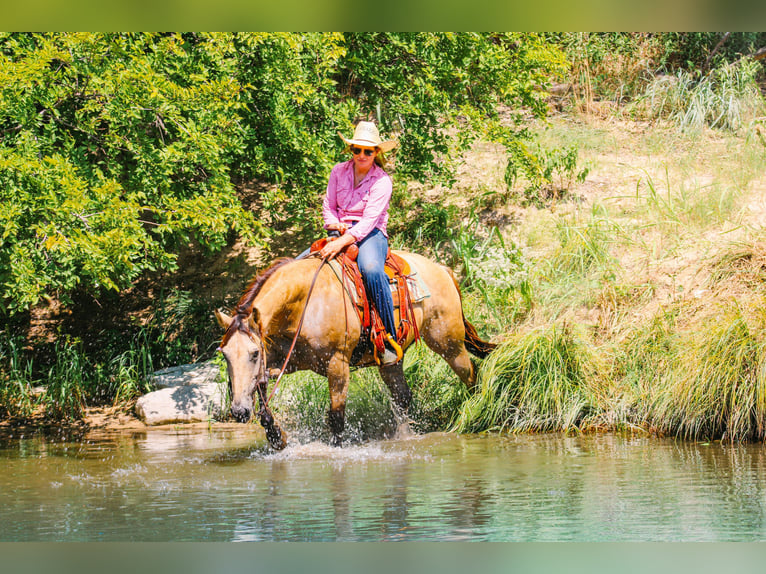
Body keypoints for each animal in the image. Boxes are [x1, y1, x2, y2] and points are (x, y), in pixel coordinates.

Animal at [216, 251, 498, 450]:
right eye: (225, 355)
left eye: (253, 353)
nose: (238, 412)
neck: (303, 304)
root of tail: (442, 270)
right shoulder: (278, 359)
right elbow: (262, 400)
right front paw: (277, 438)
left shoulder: (337, 364)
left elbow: (336, 416)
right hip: (392, 361)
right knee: (403, 397)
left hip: (449, 344)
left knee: (471, 376)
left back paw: (478, 415)